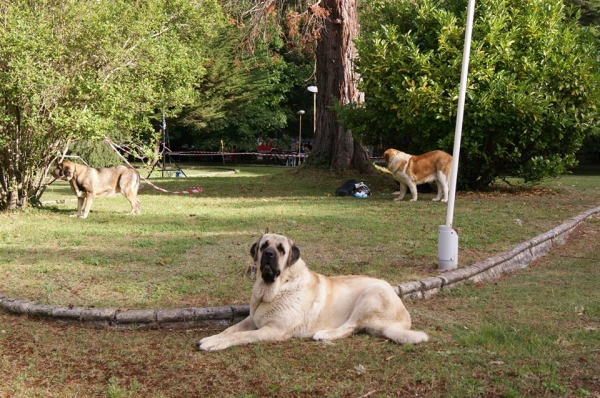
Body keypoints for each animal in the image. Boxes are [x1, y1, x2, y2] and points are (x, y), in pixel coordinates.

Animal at [199, 233, 428, 352]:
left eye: (281, 249)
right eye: (264, 246)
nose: (269, 254)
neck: (277, 287)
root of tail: (403, 320)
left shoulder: (272, 330)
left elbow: (241, 336)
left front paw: (215, 343)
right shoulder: (252, 319)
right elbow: (231, 329)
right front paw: (213, 337)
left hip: (371, 293)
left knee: (349, 327)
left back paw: (324, 334)